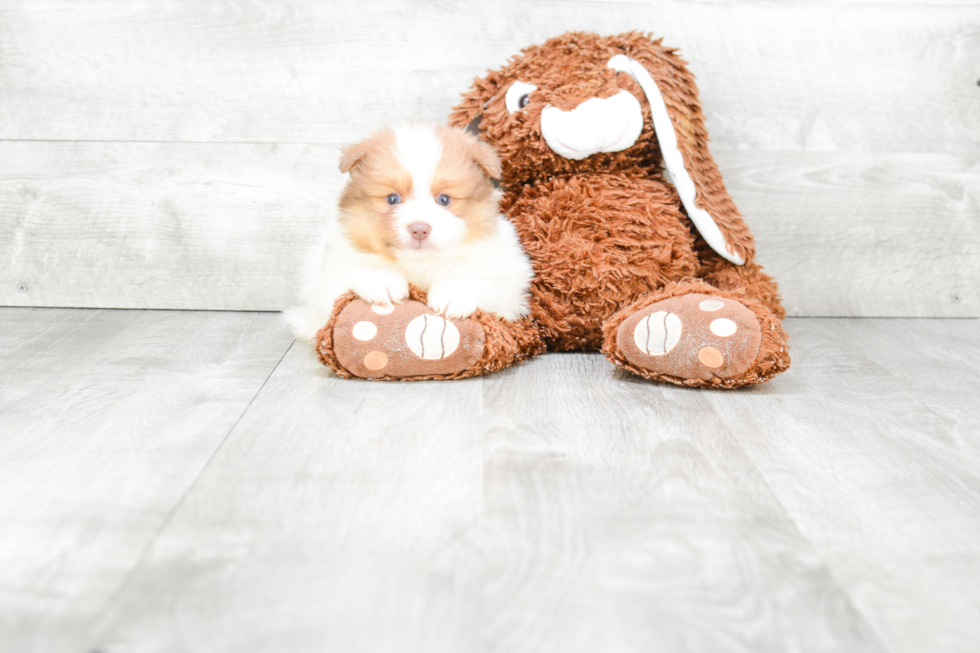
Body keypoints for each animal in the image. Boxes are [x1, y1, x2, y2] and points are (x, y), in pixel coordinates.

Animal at [284, 120, 536, 342]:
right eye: (392, 199)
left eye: (444, 200)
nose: (419, 229)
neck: (419, 264)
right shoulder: (330, 268)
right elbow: (355, 270)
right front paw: (382, 282)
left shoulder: (507, 274)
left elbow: (481, 280)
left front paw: (453, 295)